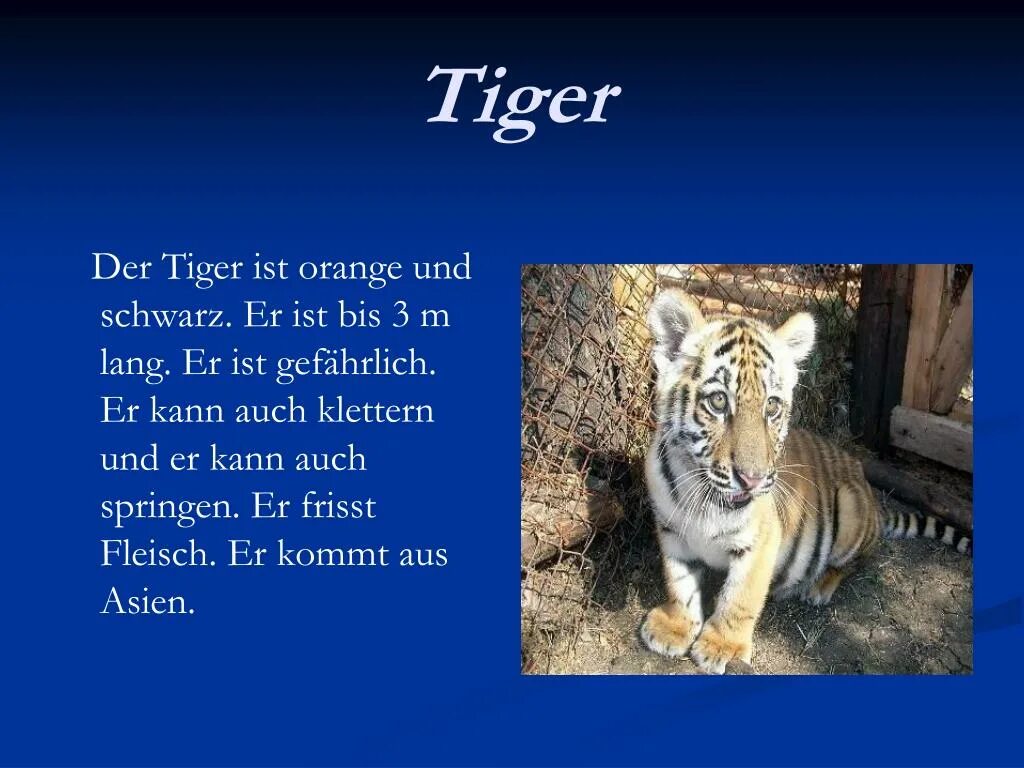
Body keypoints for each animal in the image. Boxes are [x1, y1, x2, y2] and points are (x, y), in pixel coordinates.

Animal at [641, 290, 971, 674]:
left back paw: (818, 587)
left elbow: (739, 598)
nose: (752, 480)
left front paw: (722, 646)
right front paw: (674, 628)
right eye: (719, 401)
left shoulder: (760, 543)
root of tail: (875, 508)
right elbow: (679, 584)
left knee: (859, 560)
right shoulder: (671, 529)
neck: (703, 493)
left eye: (772, 406)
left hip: (850, 509)